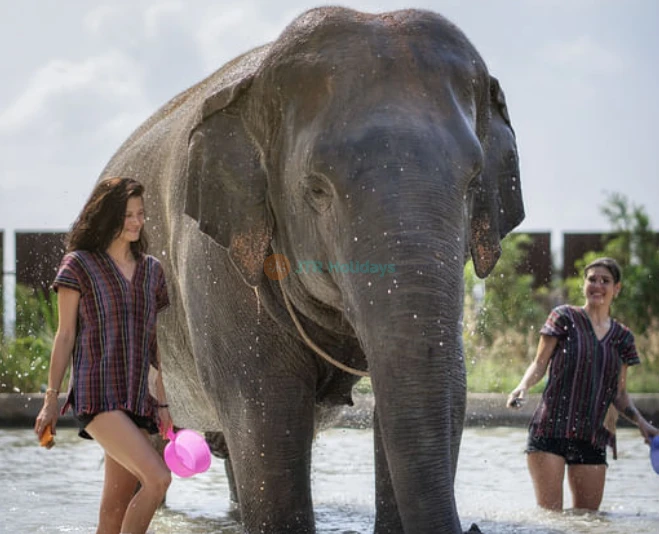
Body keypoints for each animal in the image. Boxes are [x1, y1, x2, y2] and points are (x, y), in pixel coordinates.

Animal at [100, 6, 524, 533]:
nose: (473, 524)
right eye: (317, 189)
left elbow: (442, 393)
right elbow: (266, 413)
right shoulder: (215, 265)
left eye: (472, 182)